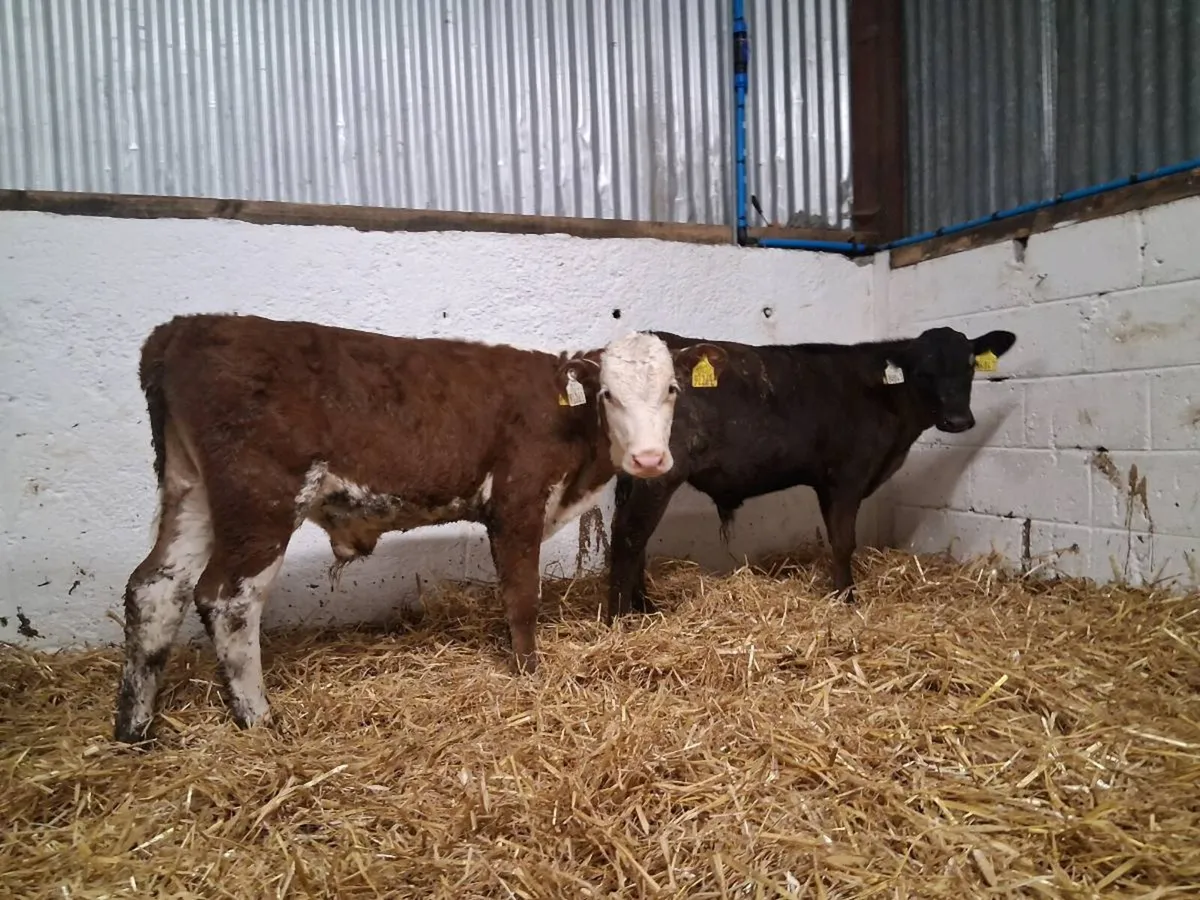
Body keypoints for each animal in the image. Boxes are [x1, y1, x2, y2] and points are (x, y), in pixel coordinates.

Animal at [113, 313, 728, 744]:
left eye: (672, 390)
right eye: (607, 394)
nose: (650, 459)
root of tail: (181, 329)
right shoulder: (517, 501)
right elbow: (522, 598)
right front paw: (529, 674)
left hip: (191, 492)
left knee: (155, 588)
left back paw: (136, 729)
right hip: (259, 501)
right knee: (228, 598)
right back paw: (259, 720)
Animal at [607, 326, 1017, 619]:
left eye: (970, 365)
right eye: (924, 371)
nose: (958, 420)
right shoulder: (847, 477)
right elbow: (843, 541)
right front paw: (846, 597)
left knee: (635, 538)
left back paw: (645, 607)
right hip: (657, 474)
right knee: (629, 536)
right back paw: (621, 617)